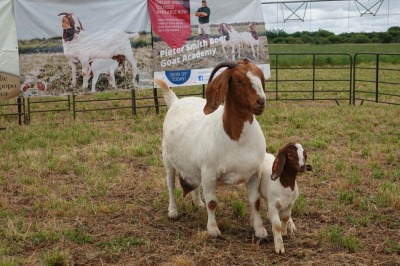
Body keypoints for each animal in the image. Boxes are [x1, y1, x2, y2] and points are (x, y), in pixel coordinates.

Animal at [155, 59, 268, 238]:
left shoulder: (255, 173)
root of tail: (176, 101)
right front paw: (213, 229)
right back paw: (173, 211)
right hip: (167, 159)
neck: (237, 140)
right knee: (170, 184)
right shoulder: (209, 173)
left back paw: (198, 202)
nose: (261, 102)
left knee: (194, 181)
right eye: (238, 80)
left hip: (194, 166)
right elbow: (213, 203)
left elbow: (255, 202)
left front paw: (260, 230)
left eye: (261, 77)